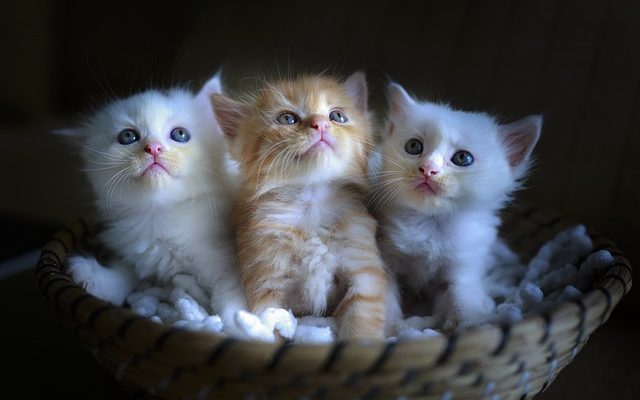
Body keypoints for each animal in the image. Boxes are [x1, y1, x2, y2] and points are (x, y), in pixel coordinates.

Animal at [62, 73, 246, 326]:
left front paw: (237, 324)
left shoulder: (229, 263)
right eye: (127, 136)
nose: (154, 148)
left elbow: (229, 297)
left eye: (180, 134)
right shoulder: (136, 256)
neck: (160, 216)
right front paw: (99, 279)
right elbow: (125, 276)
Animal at [212, 72, 398, 340]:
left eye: (337, 116)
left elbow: (361, 324)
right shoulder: (266, 285)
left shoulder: (364, 273)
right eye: (287, 118)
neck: (311, 204)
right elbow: (274, 322)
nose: (320, 124)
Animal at [370, 82, 540, 332]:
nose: (427, 169)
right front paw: (391, 328)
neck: (431, 224)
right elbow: (386, 295)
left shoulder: (463, 266)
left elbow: (463, 296)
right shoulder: (385, 258)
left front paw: (470, 325)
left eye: (462, 158)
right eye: (414, 146)